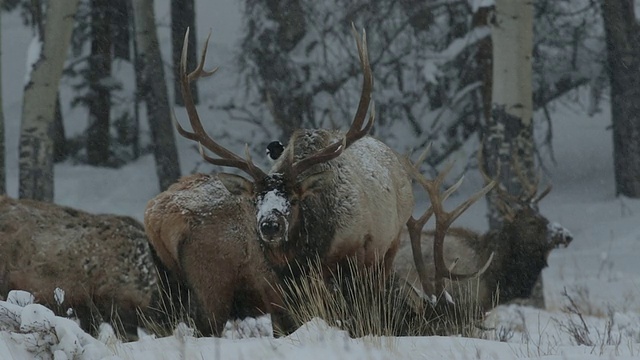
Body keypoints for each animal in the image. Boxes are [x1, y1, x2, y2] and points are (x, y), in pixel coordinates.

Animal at [174, 26, 416, 290]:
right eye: (255, 200)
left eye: (293, 199)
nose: (270, 225)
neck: (311, 252)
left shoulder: (358, 254)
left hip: (392, 242)